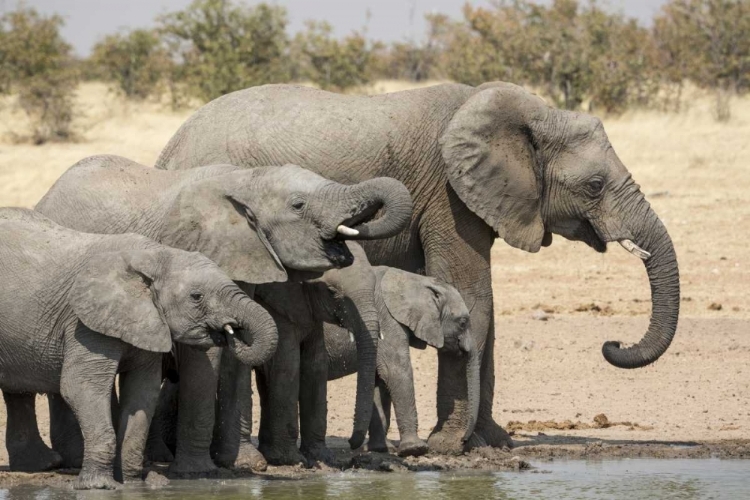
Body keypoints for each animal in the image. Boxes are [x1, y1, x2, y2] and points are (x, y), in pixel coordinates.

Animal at [0, 209, 278, 490]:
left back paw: (39, 465)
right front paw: (99, 487)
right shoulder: (83, 323)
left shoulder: (147, 321)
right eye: (196, 296)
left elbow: (143, 390)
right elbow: (81, 387)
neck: (155, 255)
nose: (232, 332)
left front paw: (135, 484)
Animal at [35, 155, 414, 472]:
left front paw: (244, 463)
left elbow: (236, 362)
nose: (353, 446)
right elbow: (206, 354)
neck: (247, 180)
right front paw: (201, 471)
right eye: (298, 205)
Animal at [326, 266, 478, 458]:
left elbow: (379, 381)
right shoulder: (386, 320)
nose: (463, 440)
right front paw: (415, 449)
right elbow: (396, 371)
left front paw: (381, 449)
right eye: (463, 323)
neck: (415, 280)